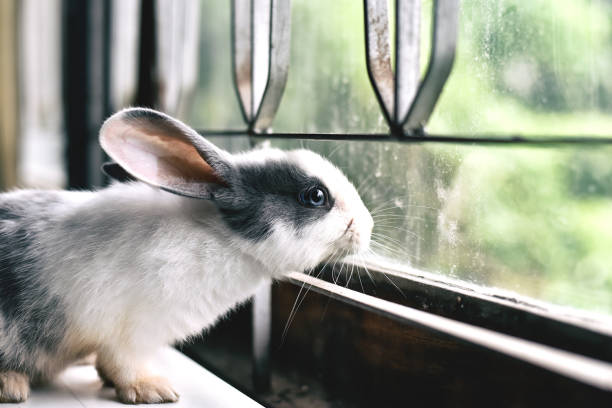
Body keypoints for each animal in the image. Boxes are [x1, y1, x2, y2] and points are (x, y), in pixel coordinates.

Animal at [0, 107, 372, 404]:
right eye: (315, 196)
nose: (367, 226)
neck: (223, 238)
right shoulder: (128, 331)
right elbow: (122, 363)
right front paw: (153, 390)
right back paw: (12, 386)